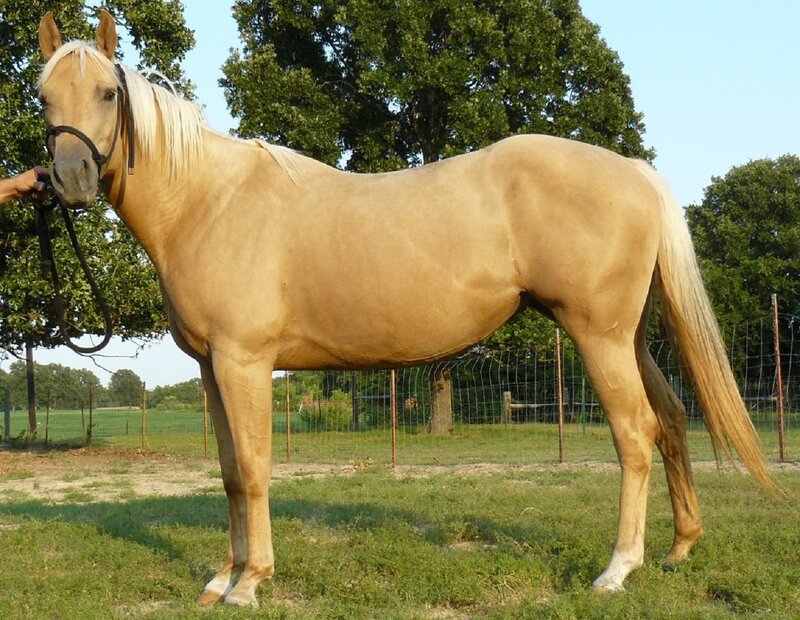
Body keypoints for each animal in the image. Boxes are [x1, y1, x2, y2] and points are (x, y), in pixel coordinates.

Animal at [36, 10, 772, 607]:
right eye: (41, 97)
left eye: (108, 92)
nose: (70, 178)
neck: (210, 201)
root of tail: (637, 174)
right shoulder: (213, 368)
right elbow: (228, 474)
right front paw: (222, 576)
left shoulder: (245, 362)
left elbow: (253, 467)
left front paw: (251, 582)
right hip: (630, 337)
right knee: (671, 419)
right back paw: (679, 549)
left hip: (600, 337)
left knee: (635, 434)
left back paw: (617, 570)